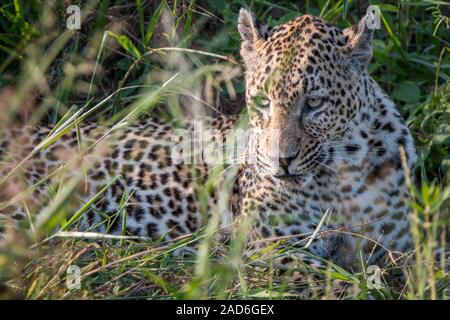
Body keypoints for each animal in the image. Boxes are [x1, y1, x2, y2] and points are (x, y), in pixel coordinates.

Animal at [0, 8, 416, 282]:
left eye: (314, 103)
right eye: (263, 101)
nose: (281, 161)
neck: (344, 174)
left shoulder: (403, 241)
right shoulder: (271, 247)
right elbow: (334, 281)